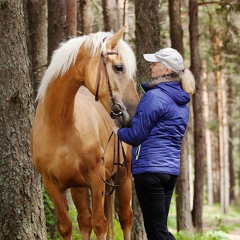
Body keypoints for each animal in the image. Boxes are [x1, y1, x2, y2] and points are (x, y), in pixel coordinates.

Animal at [30, 26, 139, 240]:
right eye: (119, 67)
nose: (134, 113)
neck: (59, 126)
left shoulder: (97, 179)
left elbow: (100, 224)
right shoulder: (52, 185)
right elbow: (67, 226)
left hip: (124, 174)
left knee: (126, 218)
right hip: (79, 187)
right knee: (85, 221)